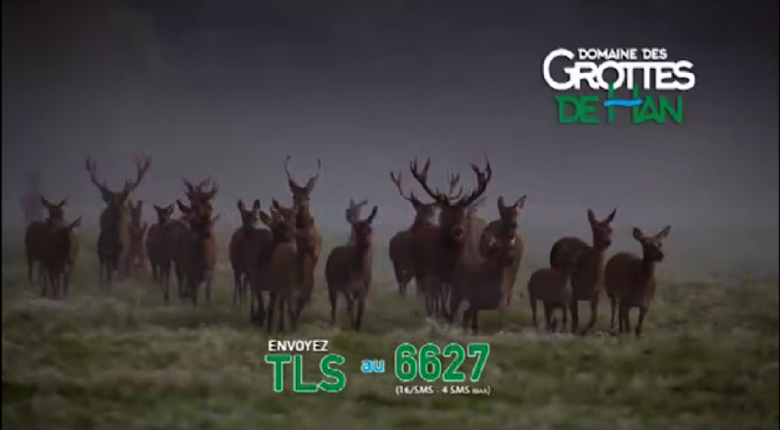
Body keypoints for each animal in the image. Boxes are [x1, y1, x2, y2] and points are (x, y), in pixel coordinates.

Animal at [85, 153, 152, 288]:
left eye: (121, 199)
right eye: (110, 199)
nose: (114, 208)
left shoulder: (122, 253)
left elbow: (113, 274)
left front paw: (111, 287)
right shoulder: (101, 251)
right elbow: (102, 275)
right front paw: (101, 287)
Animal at [326, 203, 378, 331]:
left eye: (370, 229)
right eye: (357, 230)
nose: (366, 244)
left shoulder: (365, 287)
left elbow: (360, 307)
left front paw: (358, 326)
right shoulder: (346, 286)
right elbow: (350, 303)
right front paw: (353, 325)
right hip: (331, 284)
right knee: (333, 304)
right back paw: (334, 322)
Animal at [408, 156, 492, 322]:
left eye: (464, 215)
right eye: (446, 214)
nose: (458, 230)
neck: (449, 260)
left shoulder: (457, 277)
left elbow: (452, 299)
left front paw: (453, 316)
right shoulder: (435, 273)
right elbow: (440, 296)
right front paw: (443, 315)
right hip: (420, 270)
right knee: (426, 294)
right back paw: (430, 313)